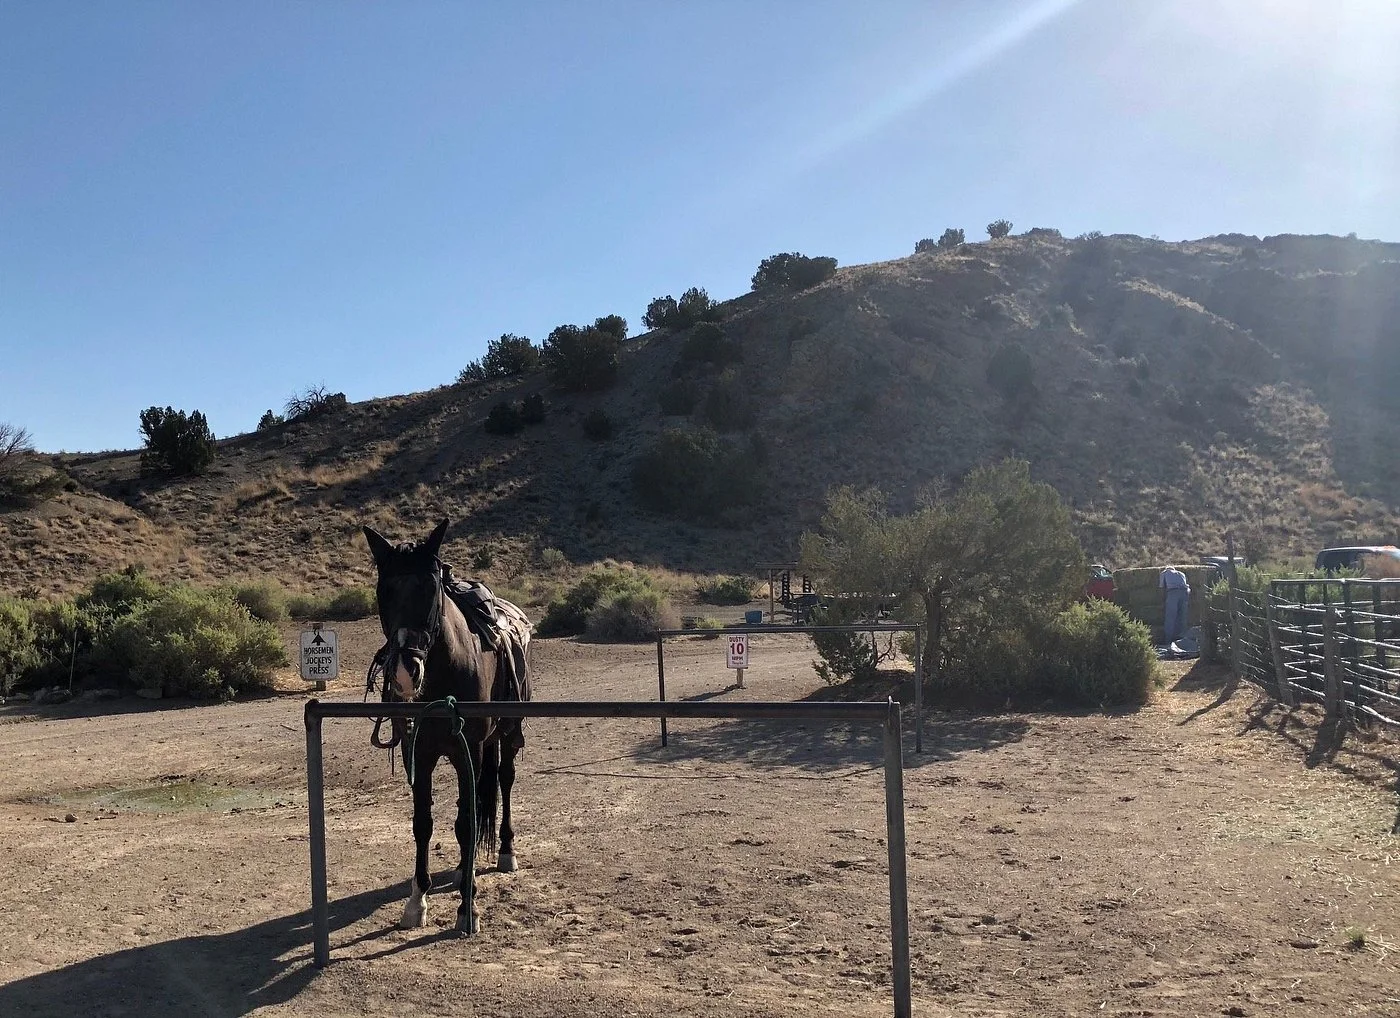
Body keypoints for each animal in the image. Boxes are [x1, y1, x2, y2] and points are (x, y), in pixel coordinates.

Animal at [363, 518, 531, 936]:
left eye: (430, 588)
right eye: (384, 590)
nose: (405, 672)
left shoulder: (467, 750)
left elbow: (467, 821)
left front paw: (467, 907)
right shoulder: (419, 751)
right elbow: (424, 823)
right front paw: (416, 900)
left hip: (506, 736)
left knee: (504, 781)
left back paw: (505, 851)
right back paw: (459, 868)